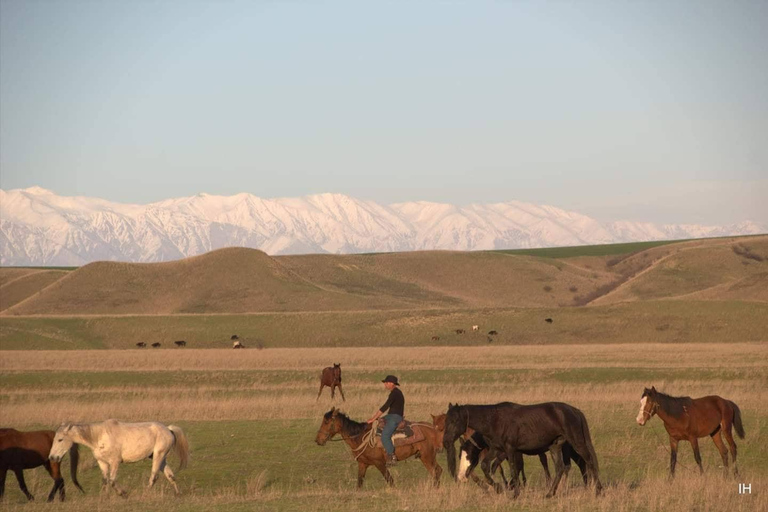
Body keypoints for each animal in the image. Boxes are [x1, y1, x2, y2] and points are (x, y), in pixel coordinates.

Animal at [48, 420, 189, 496]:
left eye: (60, 439)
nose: (52, 457)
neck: (99, 437)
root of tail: (168, 430)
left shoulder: (115, 462)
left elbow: (112, 480)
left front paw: (123, 494)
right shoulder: (102, 463)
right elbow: (105, 480)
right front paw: (104, 496)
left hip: (158, 456)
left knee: (154, 476)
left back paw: (145, 492)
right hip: (160, 457)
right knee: (170, 475)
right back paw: (178, 494)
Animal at [314, 408, 444, 488]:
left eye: (326, 422)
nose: (318, 440)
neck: (360, 437)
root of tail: (433, 428)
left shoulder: (379, 463)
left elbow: (389, 480)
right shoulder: (362, 464)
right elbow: (359, 482)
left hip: (427, 457)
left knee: (435, 471)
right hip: (427, 456)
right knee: (438, 470)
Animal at [444, 402, 600, 498]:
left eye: (454, 421)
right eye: (446, 421)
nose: (445, 442)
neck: (495, 420)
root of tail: (575, 411)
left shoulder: (510, 450)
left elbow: (514, 469)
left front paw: (515, 493)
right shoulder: (496, 449)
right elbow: (486, 466)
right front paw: (498, 488)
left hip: (577, 443)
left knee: (589, 461)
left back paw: (598, 490)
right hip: (555, 446)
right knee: (561, 468)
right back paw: (550, 494)